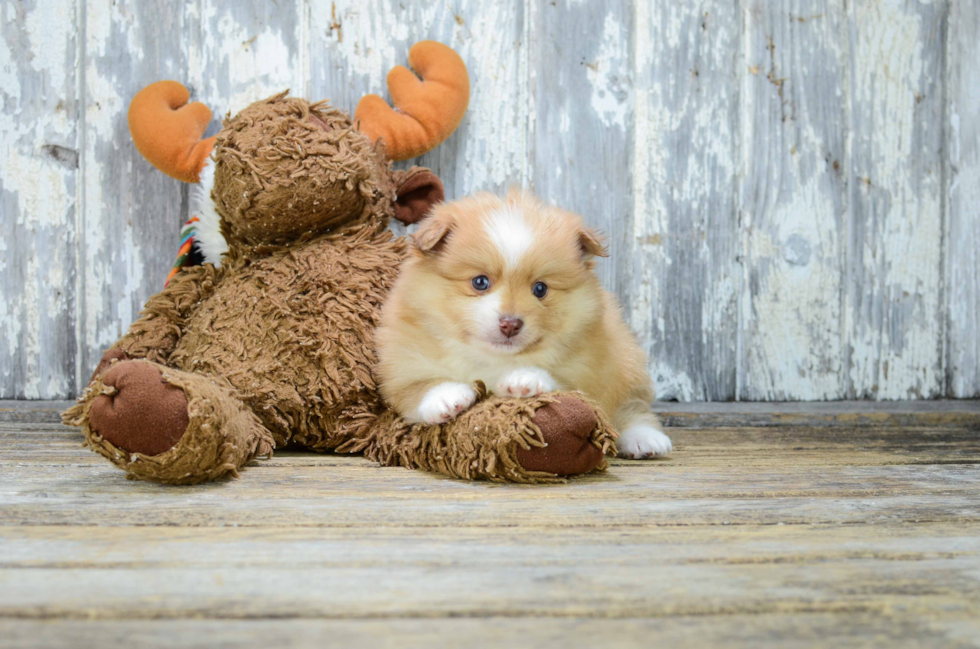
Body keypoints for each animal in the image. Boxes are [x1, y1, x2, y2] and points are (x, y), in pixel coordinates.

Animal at [376, 190, 672, 458]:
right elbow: (417, 388)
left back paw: (645, 439)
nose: (510, 323)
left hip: (627, 361)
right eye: (480, 282)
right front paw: (446, 397)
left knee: (630, 408)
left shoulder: (587, 369)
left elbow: (565, 384)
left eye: (540, 289)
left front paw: (524, 379)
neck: (493, 359)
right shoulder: (403, 362)